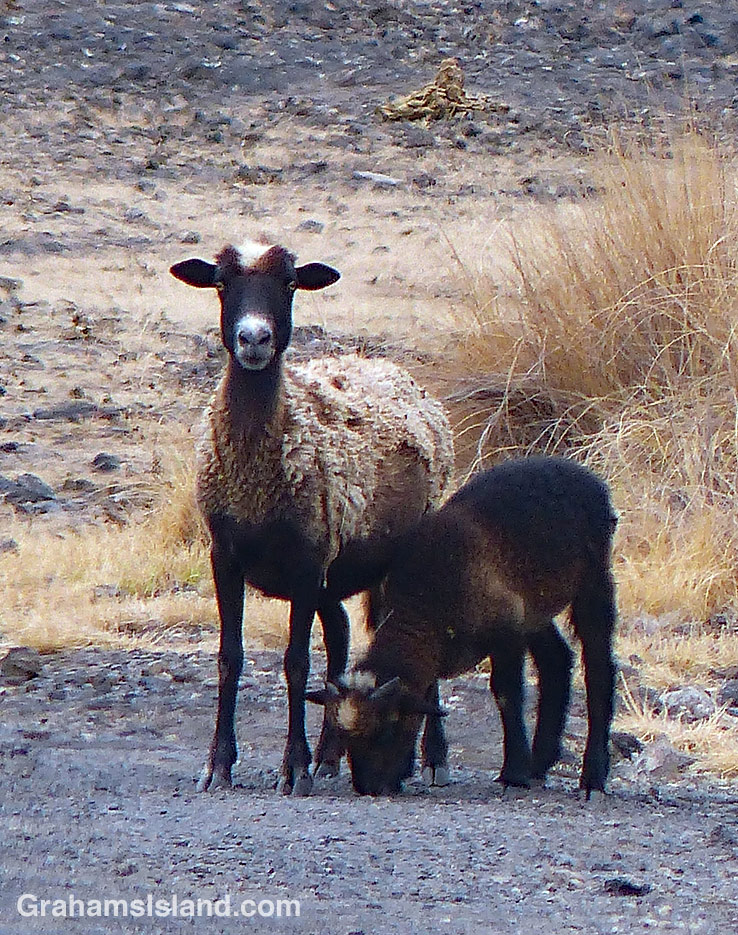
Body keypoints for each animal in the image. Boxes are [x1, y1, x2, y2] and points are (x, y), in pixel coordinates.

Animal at [170, 238, 454, 796]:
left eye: (290, 283)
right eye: (221, 283)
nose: (253, 338)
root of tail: (395, 372)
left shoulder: (306, 561)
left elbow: (296, 664)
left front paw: (294, 768)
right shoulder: (224, 556)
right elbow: (229, 658)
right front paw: (219, 765)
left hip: (402, 548)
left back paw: (430, 759)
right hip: (334, 570)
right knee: (340, 636)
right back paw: (330, 757)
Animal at [307, 456, 618, 798]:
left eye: (387, 729)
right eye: (344, 736)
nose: (368, 788)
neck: (425, 605)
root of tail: (586, 477)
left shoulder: (507, 634)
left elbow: (506, 694)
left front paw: (514, 773)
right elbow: (428, 692)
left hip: (593, 580)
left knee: (599, 671)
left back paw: (592, 778)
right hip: (534, 610)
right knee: (556, 662)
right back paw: (540, 764)